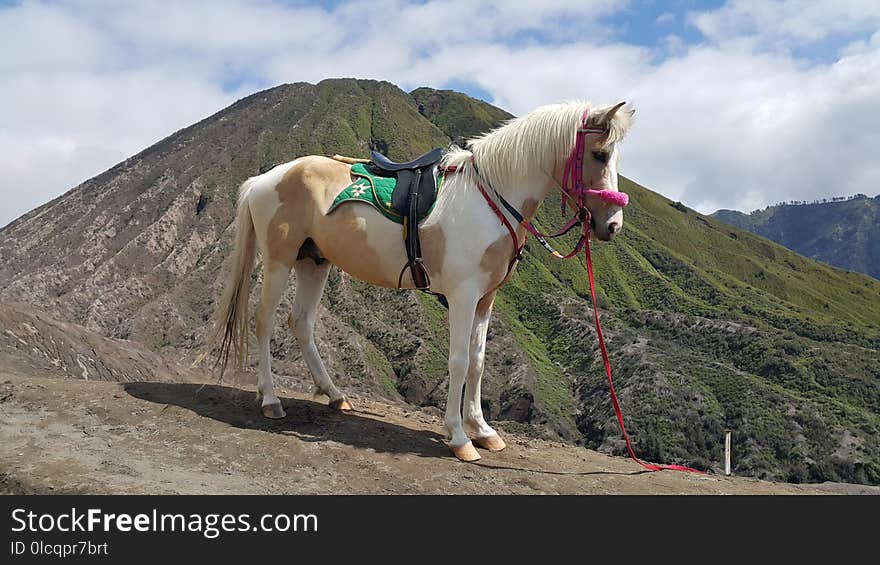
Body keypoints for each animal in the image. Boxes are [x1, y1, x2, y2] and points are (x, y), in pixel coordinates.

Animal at [206, 99, 632, 460]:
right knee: (263, 323)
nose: (612, 225)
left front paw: (483, 430)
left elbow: (478, 361)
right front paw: (459, 437)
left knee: (301, 324)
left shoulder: (485, 299)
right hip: (279, 263)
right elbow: (458, 362)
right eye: (599, 154)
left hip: (314, 264)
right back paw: (270, 400)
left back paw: (335, 395)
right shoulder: (463, 296)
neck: (491, 197)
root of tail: (265, 178)